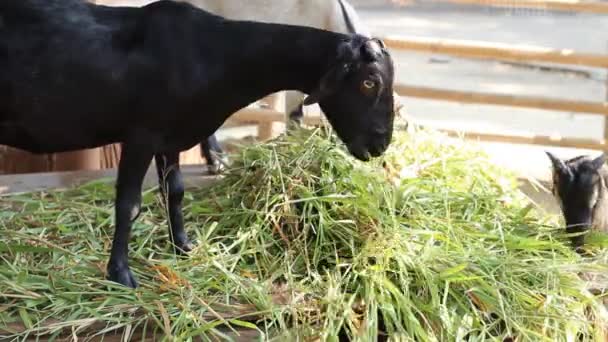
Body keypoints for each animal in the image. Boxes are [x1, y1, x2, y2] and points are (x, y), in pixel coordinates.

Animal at [0, 0, 396, 288]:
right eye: (368, 82)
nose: (380, 144)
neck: (214, 57)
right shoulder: (141, 135)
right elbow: (129, 204)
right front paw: (121, 275)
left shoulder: (172, 136)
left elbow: (174, 192)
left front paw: (183, 248)